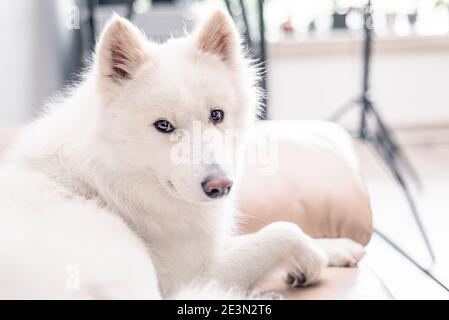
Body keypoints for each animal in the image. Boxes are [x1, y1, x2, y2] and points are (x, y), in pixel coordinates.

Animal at [0, 10, 364, 300]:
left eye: (217, 115)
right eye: (163, 125)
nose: (221, 186)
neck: (110, 180)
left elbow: (270, 232)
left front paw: (337, 245)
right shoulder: (190, 276)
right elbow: (282, 230)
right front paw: (312, 261)